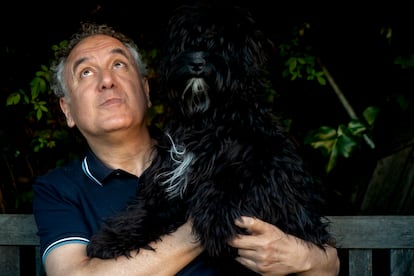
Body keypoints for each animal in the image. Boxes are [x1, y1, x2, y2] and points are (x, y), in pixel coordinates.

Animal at [86, 0, 334, 266]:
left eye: (221, 44)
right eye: (188, 43)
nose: (196, 63)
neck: (205, 119)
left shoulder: (272, 169)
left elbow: (235, 181)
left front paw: (215, 220)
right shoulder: (171, 176)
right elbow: (148, 208)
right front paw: (111, 238)